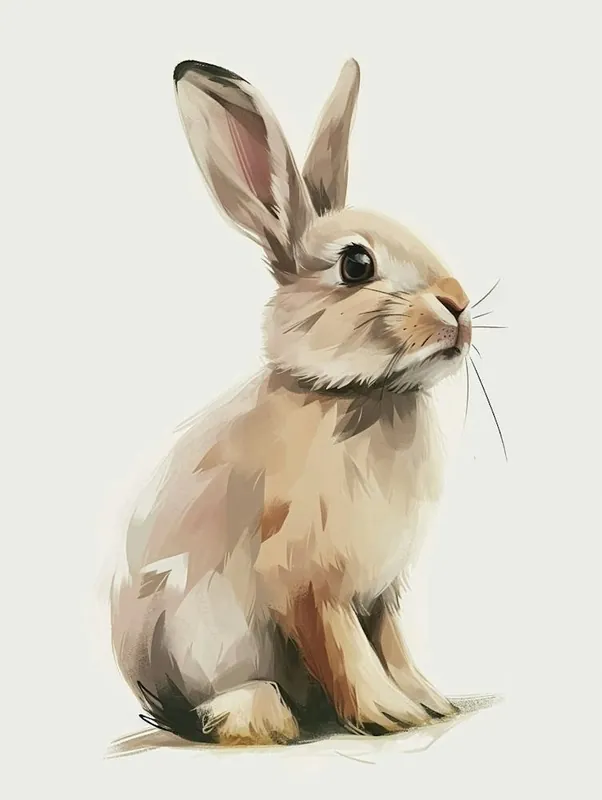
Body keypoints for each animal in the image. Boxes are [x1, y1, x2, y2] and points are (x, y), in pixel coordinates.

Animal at [110, 58, 472, 747]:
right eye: (356, 264)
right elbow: (346, 650)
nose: (459, 306)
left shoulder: (382, 591)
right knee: (216, 702)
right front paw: (389, 714)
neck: (358, 394)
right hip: (203, 637)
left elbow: (391, 645)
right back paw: (261, 715)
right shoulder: (308, 579)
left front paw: (429, 702)